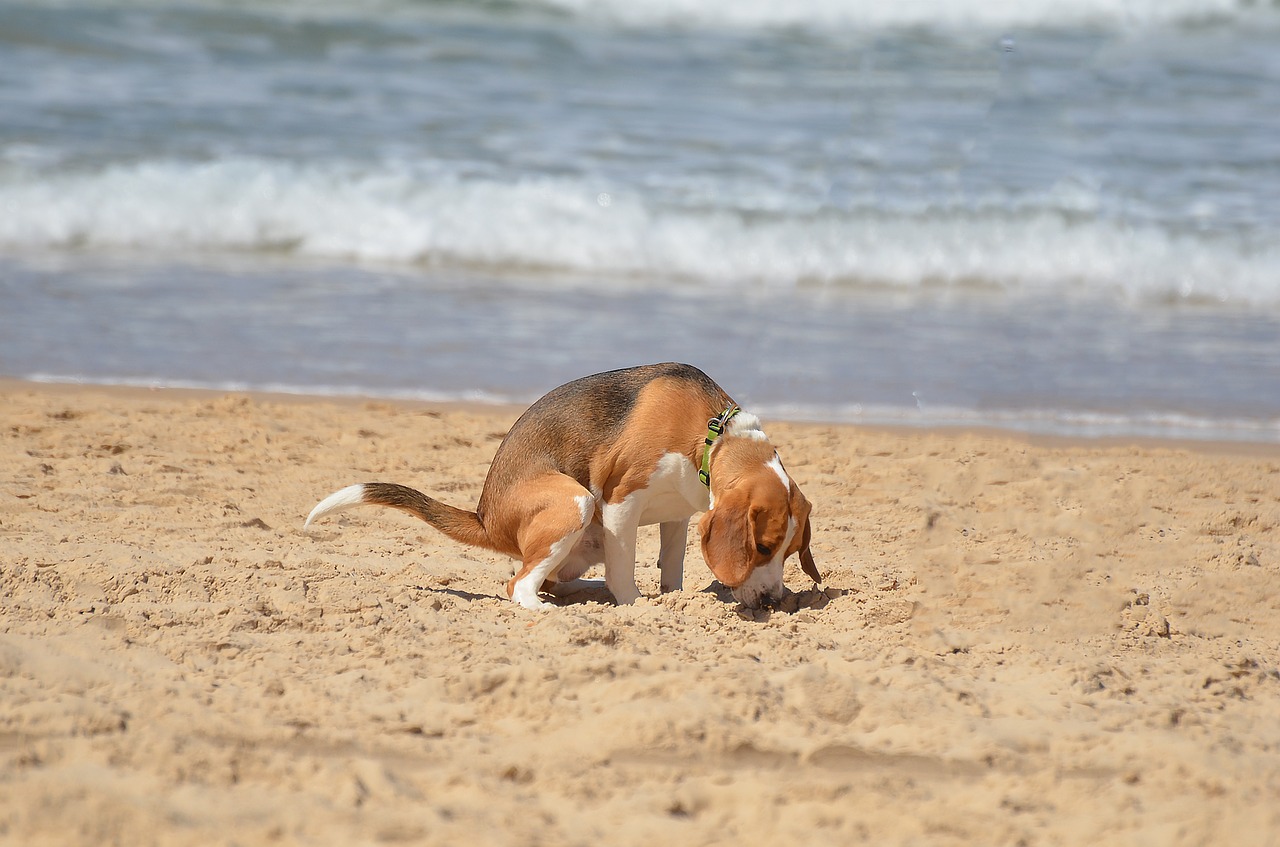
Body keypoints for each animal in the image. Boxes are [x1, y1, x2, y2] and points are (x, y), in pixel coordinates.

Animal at [307, 363, 819, 611]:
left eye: (790, 552)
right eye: (763, 546)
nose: (773, 601)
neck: (712, 432)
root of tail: (485, 518)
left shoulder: (678, 514)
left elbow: (671, 568)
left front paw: (672, 599)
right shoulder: (620, 501)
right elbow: (624, 572)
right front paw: (636, 606)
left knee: (550, 576)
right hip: (575, 502)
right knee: (518, 584)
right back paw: (547, 606)